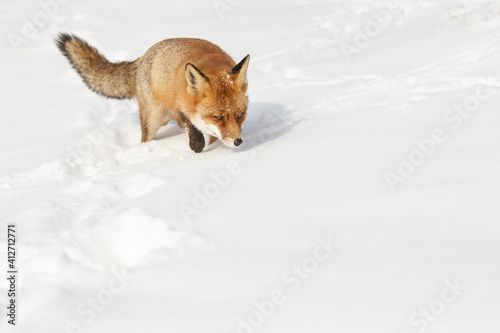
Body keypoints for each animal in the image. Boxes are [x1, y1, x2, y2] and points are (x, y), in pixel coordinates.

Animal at [55, 33, 249, 152]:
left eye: (240, 115)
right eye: (218, 117)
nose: (238, 142)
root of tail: (143, 56)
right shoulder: (179, 107)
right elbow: (191, 125)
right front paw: (197, 145)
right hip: (153, 120)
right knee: (145, 139)